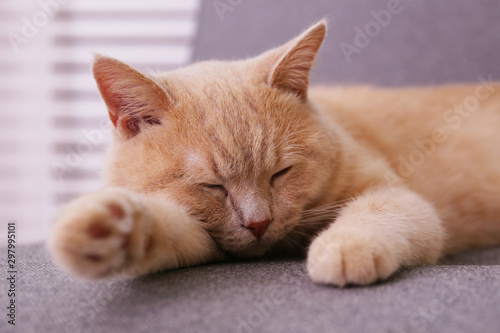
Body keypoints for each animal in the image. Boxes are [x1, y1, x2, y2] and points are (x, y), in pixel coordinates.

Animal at [48, 20, 500, 286]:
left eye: (280, 173)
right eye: (212, 186)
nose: (259, 223)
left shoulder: (401, 198)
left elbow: (381, 210)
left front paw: (344, 246)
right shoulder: (202, 238)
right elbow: (165, 227)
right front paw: (102, 227)